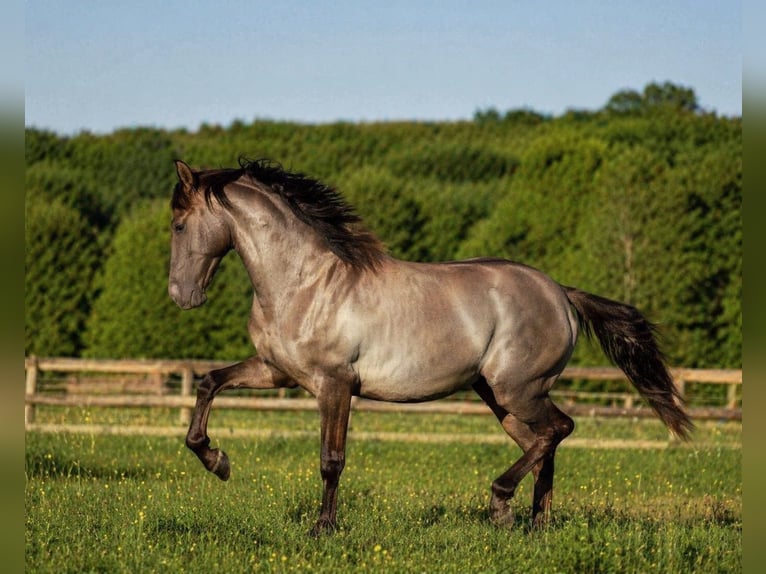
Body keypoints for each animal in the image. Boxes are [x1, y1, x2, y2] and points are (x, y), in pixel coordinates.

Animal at [168, 158, 692, 536]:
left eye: (178, 226)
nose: (181, 296)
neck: (305, 282)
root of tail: (561, 293)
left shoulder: (335, 384)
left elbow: (331, 460)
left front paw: (323, 529)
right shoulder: (276, 371)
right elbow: (209, 383)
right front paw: (218, 462)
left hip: (518, 390)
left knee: (559, 430)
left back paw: (501, 502)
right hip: (499, 396)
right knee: (544, 444)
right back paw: (531, 524)